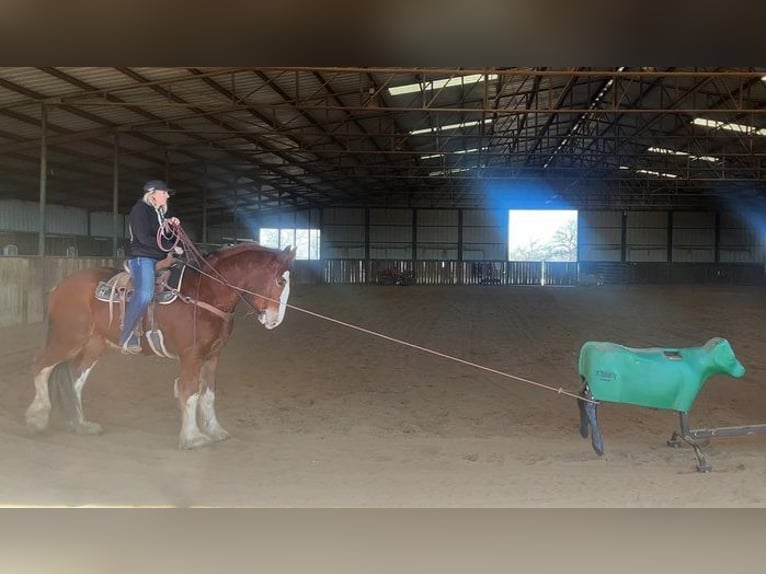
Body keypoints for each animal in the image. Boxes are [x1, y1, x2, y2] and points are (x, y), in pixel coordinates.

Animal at [26, 243, 296, 450]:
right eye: (280, 281)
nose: (275, 320)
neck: (206, 294)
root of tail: (60, 287)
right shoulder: (191, 356)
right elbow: (190, 392)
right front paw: (193, 437)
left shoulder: (213, 355)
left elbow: (208, 394)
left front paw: (215, 430)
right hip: (67, 338)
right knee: (41, 366)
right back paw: (37, 418)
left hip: (93, 345)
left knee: (75, 379)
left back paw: (81, 424)